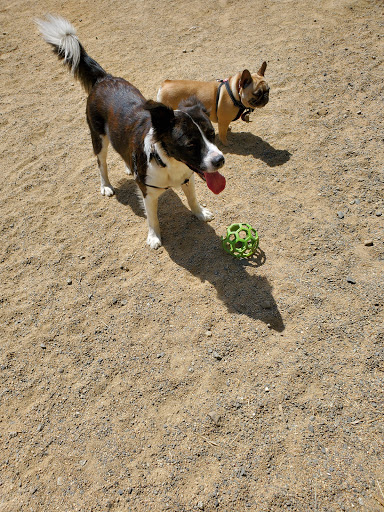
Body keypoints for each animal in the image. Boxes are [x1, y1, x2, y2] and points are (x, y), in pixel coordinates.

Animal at [36, 16, 225, 248]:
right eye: (191, 144)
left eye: (212, 134)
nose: (220, 160)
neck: (167, 162)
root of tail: (103, 78)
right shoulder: (147, 192)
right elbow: (152, 217)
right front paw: (154, 237)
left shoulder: (187, 178)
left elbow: (193, 198)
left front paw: (200, 213)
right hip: (98, 138)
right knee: (101, 163)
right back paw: (106, 185)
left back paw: (128, 167)